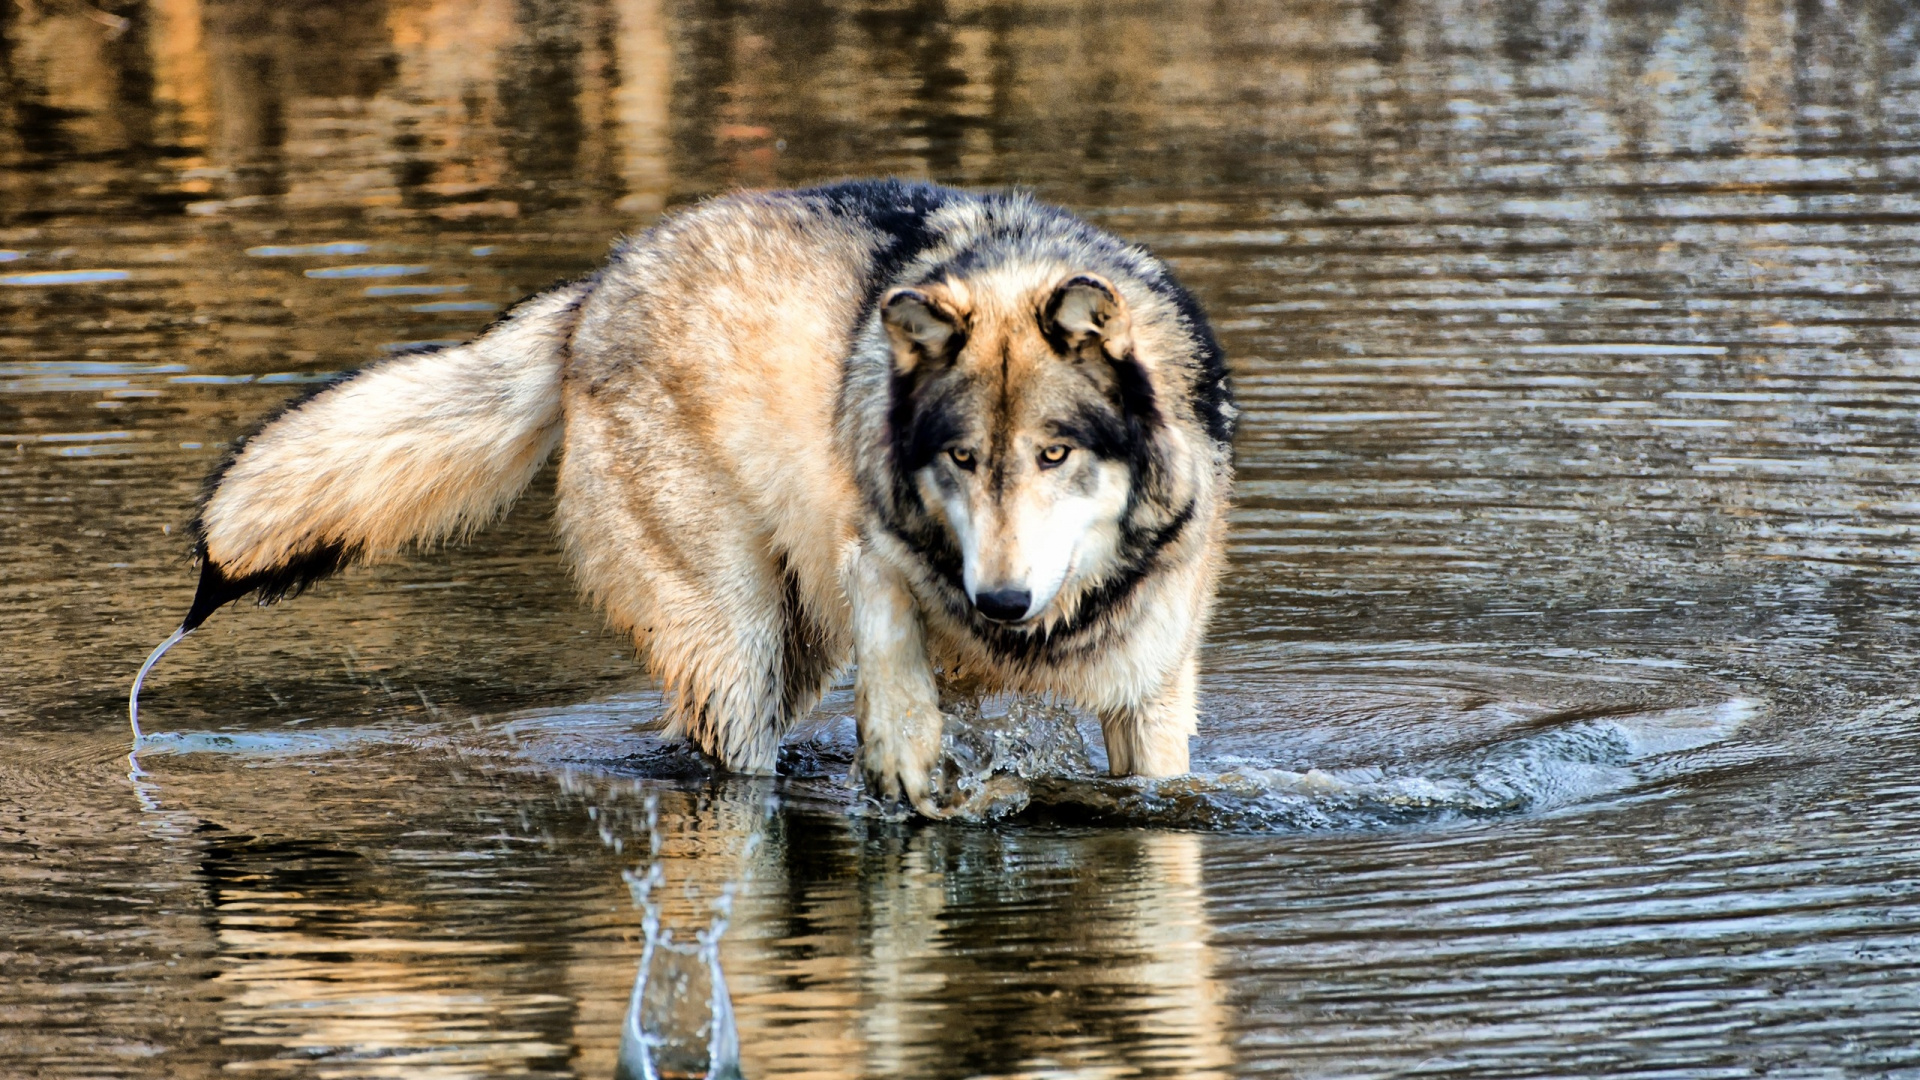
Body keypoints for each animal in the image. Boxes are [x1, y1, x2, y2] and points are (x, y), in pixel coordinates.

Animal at [145, 180, 1244, 810]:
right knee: (734, 761)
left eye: (1054, 455)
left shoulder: (1151, 694)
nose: (1001, 601)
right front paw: (904, 755)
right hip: (743, 643)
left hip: (783, 652)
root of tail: (595, 288)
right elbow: (893, 629)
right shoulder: (869, 538)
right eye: (964, 460)